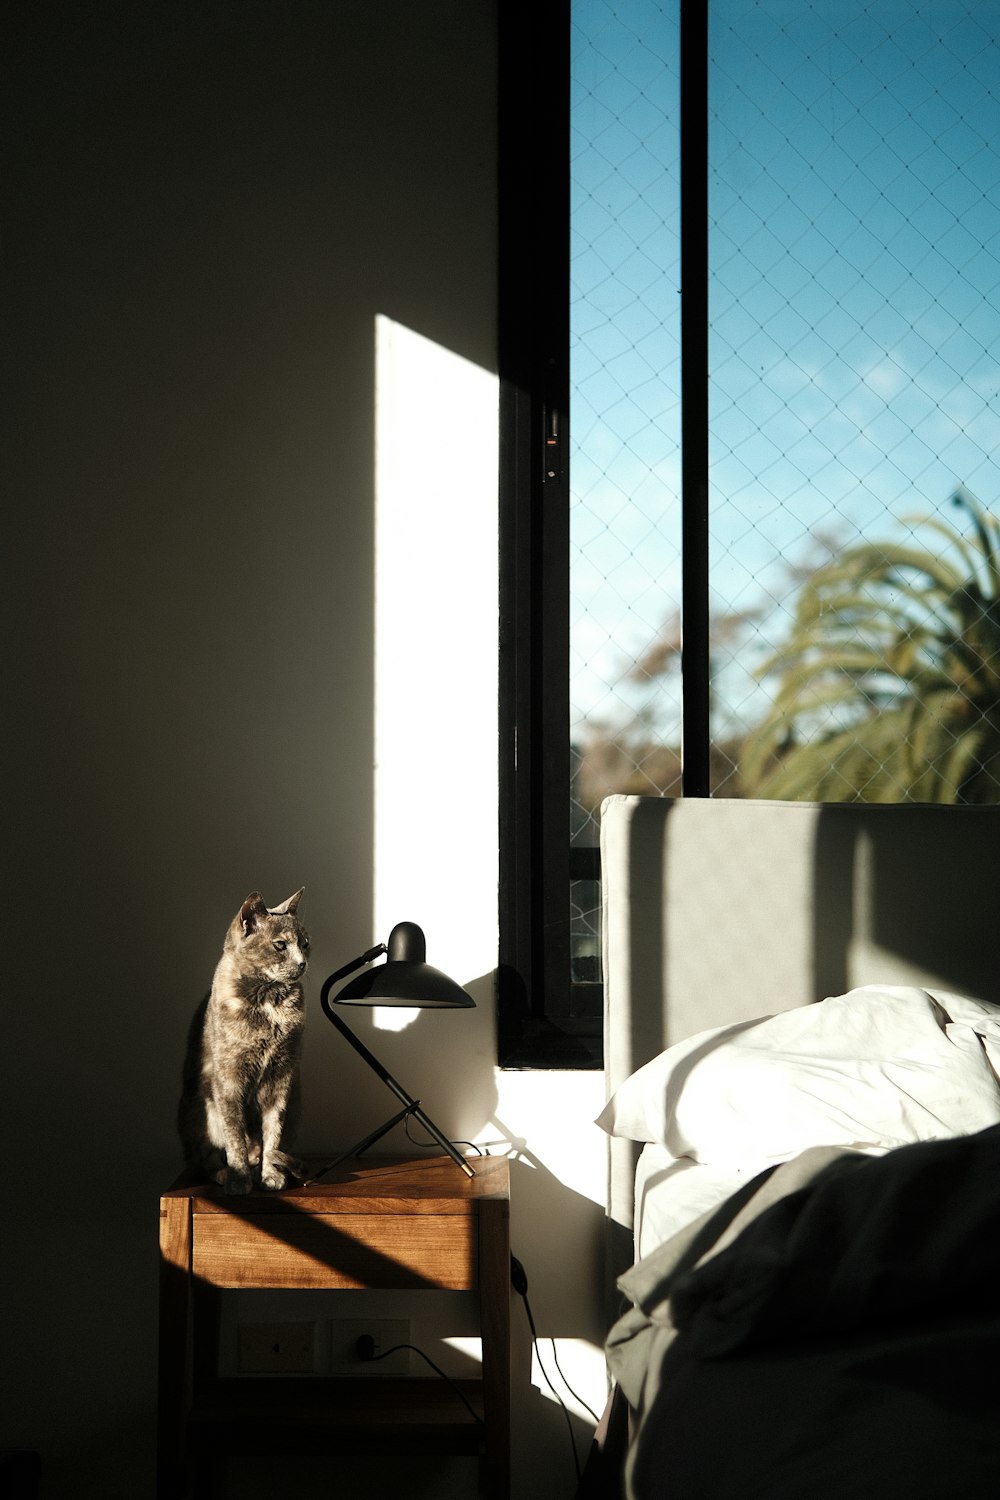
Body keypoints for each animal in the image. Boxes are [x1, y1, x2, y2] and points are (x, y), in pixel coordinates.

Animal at [176, 888, 308, 1194]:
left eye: (306, 943)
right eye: (280, 945)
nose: (302, 962)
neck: (270, 1002)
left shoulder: (282, 1077)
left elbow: (273, 1131)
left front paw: (271, 1175)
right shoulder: (229, 1078)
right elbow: (234, 1134)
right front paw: (239, 1181)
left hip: (297, 1105)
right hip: (198, 1111)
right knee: (206, 1160)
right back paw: (227, 1175)